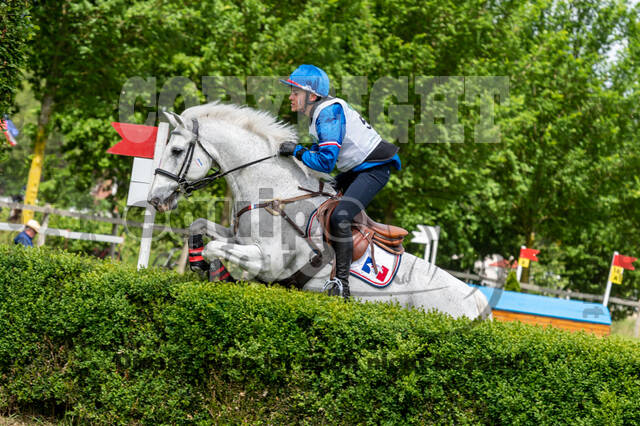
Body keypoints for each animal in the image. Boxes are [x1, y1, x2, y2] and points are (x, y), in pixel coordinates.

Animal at [148, 102, 491, 320]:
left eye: (176, 150)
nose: (155, 199)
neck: (274, 190)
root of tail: (476, 301)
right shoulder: (240, 238)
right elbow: (199, 225)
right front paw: (199, 264)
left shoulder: (269, 262)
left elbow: (216, 248)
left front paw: (218, 271)